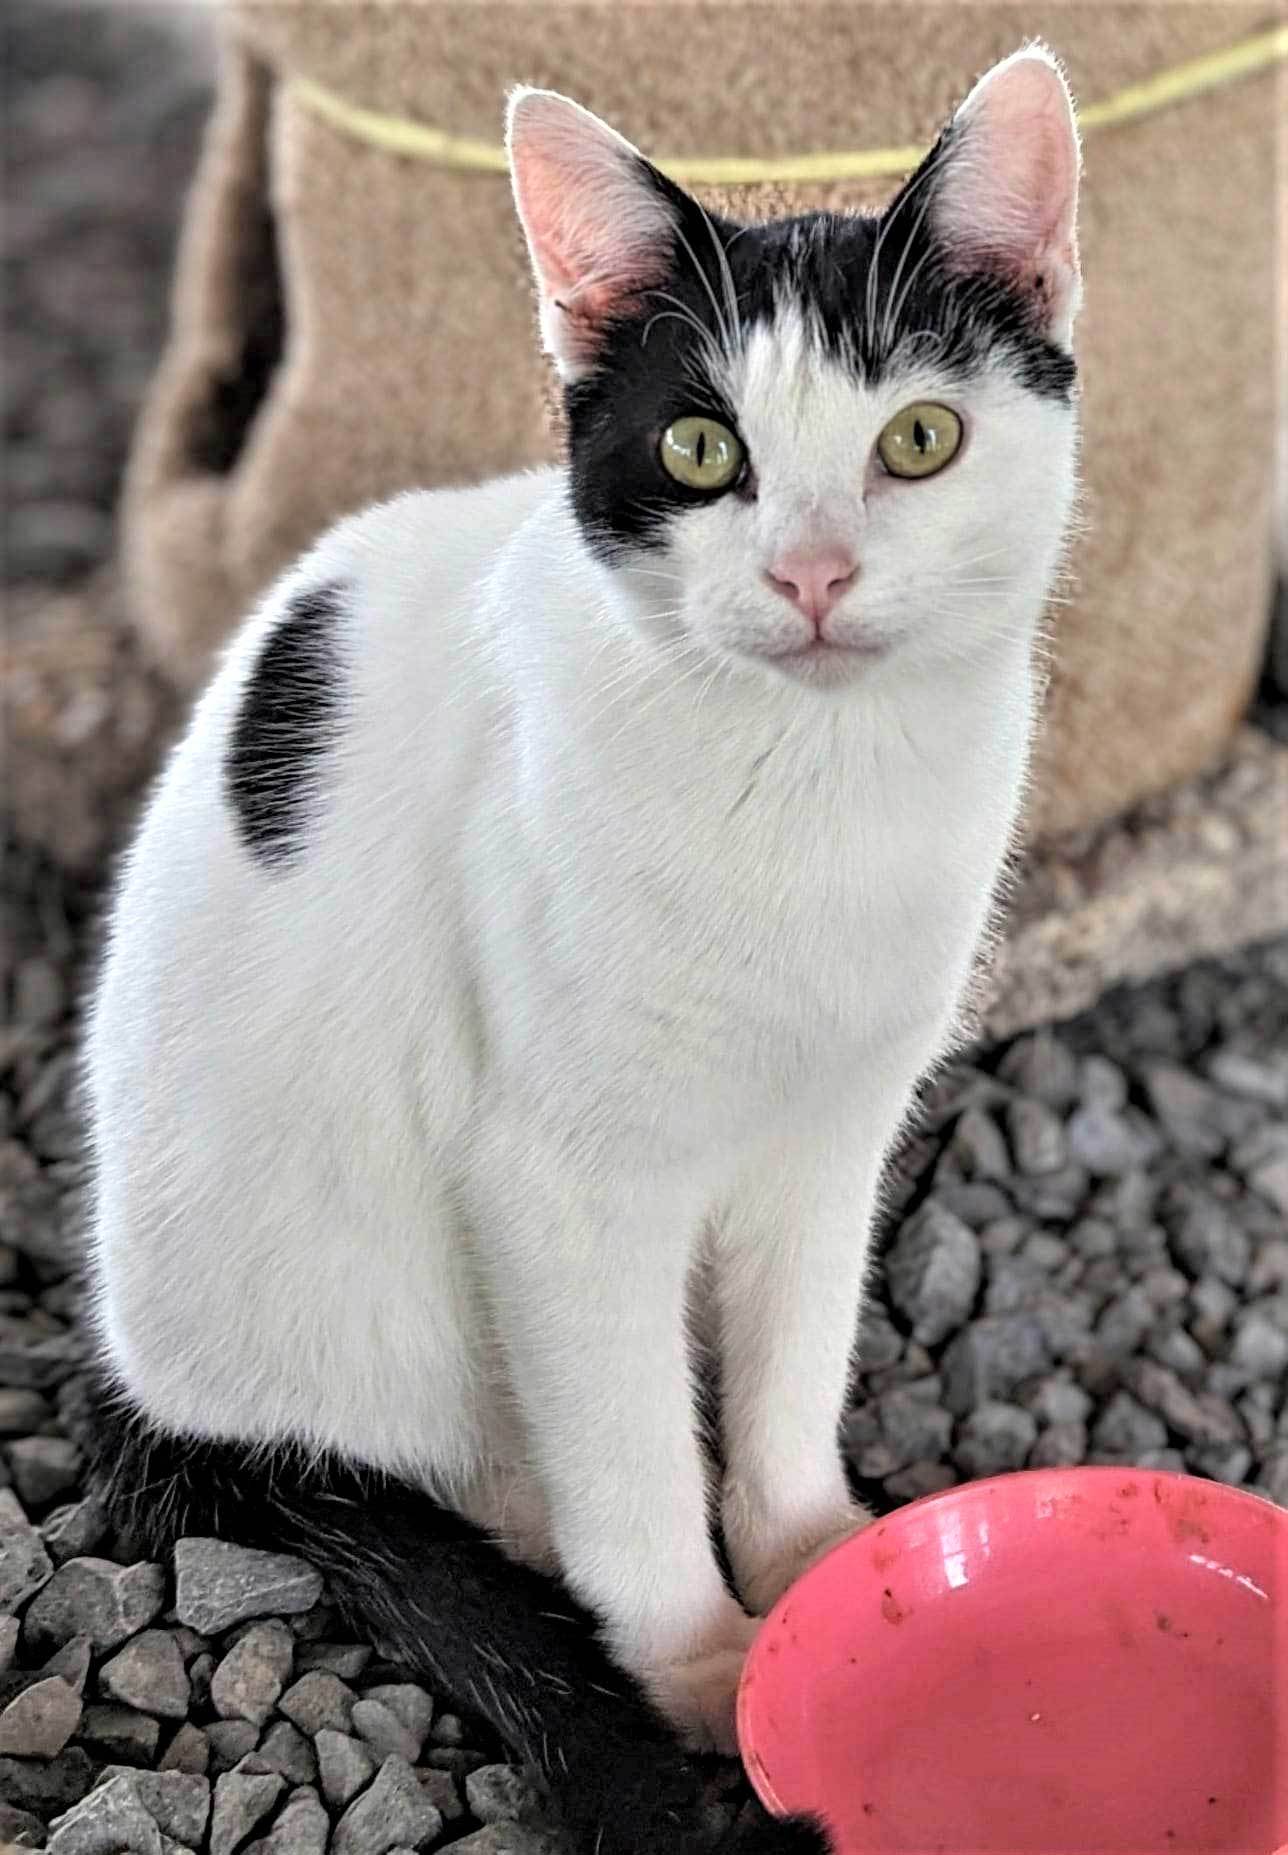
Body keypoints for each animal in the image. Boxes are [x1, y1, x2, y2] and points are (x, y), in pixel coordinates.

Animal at [85, 43, 1083, 1855]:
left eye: (918, 439)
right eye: (698, 447)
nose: (811, 572)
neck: (811, 788)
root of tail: (143, 1379)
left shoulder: (833, 1129)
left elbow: (790, 1358)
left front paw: (810, 1556)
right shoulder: (556, 1177)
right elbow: (623, 1440)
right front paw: (700, 1666)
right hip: (348, 1296)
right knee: (472, 1448)